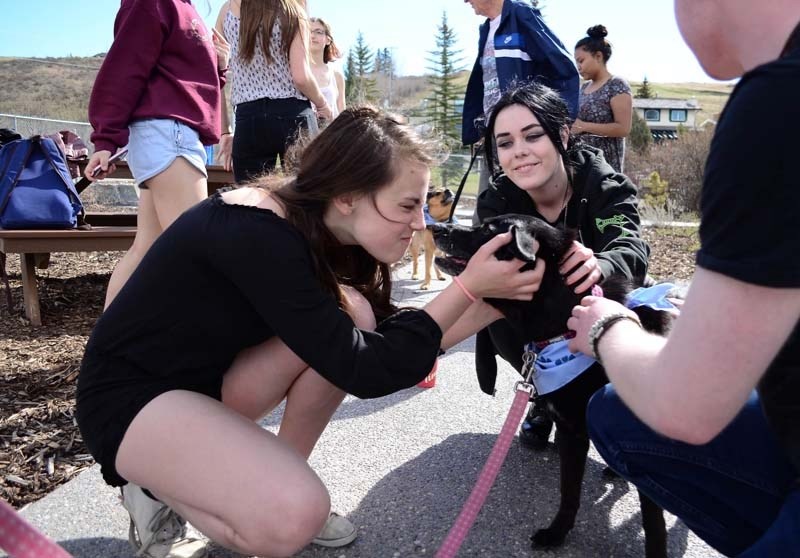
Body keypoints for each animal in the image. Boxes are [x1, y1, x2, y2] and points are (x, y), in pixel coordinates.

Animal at [434, 217, 672, 558]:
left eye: (489, 230)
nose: (435, 227)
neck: (566, 323)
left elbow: (654, 525)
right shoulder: (572, 432)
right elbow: (569, 491)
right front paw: (557, 533)